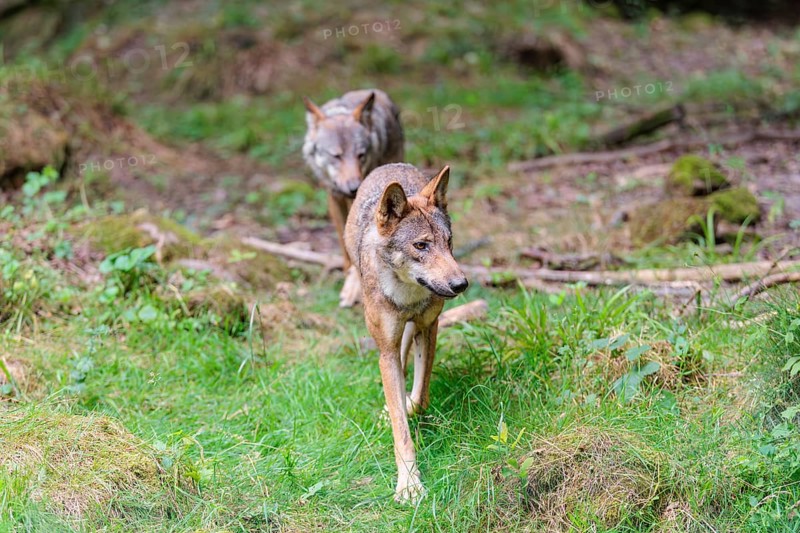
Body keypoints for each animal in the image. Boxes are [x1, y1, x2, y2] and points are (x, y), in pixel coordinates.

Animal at [302, 89, 404, 307]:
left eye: (361, 155)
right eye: (336, 156)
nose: (353, 188)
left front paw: (353, 288)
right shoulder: (334, 197)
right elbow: (345, 246)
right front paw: (347, 273)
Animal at [344, 163, 469, 503]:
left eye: (448, 242)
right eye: (421, 245)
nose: (461, 284)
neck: (407, 295)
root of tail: (391, 166)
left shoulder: (428, 327)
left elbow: (421, 395)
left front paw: (411, 406)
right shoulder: (386, 349)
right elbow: (400, 429)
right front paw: (409, 485)